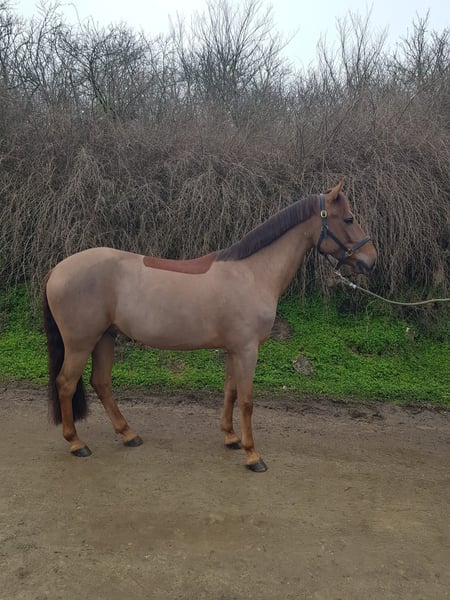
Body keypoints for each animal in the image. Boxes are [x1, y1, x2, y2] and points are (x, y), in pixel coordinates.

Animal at [42, 180, 377, 472]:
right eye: (348, 218)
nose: (371, 260)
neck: (252, 273)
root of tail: (58, 270)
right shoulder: (247, 350)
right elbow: (247, 400)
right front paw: (253, 455)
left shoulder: (234, 349)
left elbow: (230, 391)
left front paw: (230, 437)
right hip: (80, 343)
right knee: (66, 383)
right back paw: (77, 443)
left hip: (105, 338)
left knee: (101, 383)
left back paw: (128, 434)